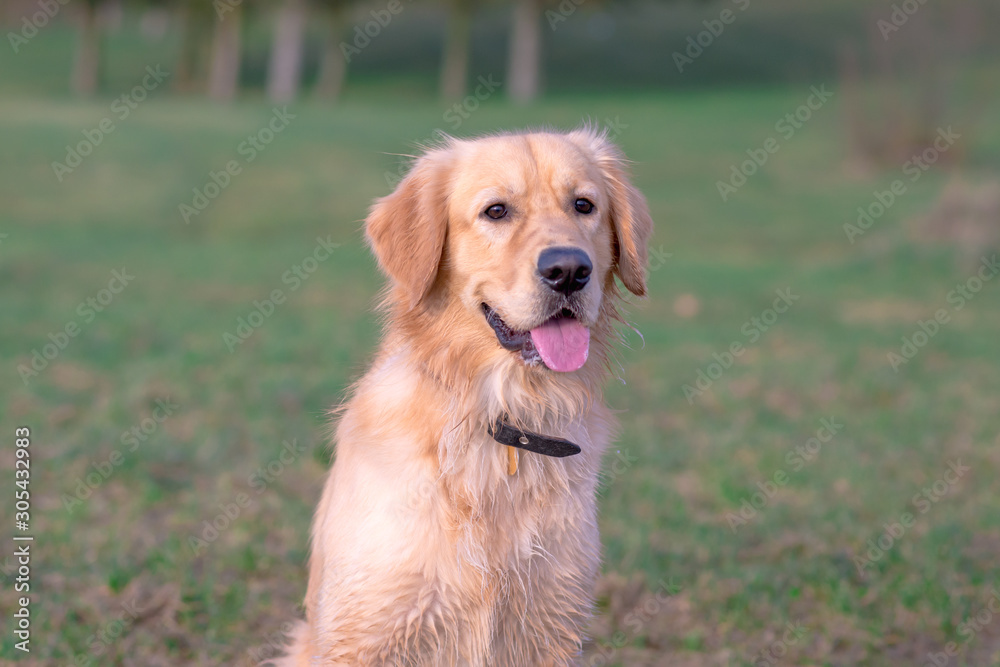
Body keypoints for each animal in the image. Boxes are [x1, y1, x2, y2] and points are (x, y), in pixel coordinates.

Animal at [274, 128, 652, 664]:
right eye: (496, 211)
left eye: (584, 205)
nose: (568, 270)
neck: (500, 413)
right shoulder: (366, 630)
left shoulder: (551, 625)